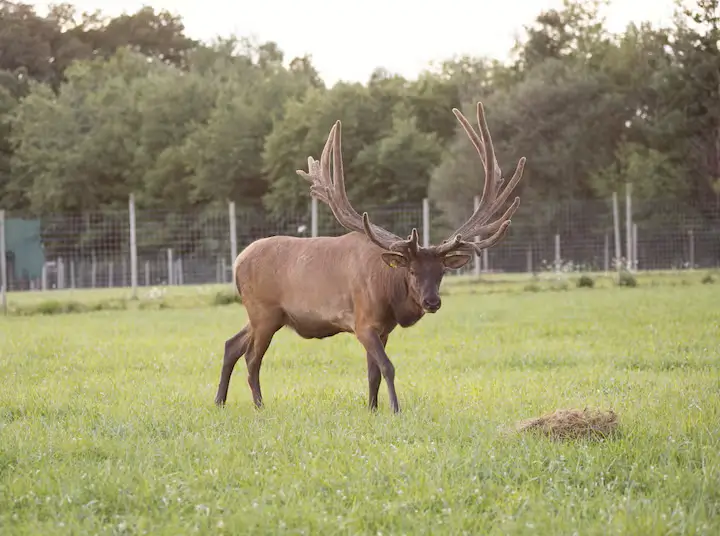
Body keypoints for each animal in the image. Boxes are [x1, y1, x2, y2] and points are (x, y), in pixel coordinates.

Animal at [214, 101, 526, 413]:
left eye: (441, 272)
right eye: (411, 271)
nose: (432, 302)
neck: (389, 293)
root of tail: (238, 261)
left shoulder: (384, 329)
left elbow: (372, 372)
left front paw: (373, 408)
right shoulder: (363, 323)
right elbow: (388, 367)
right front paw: (396, 408)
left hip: (266, 315)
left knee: (231, 344)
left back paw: (219, 401)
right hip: (263, 312)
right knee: (252, 358)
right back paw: (259, 405)